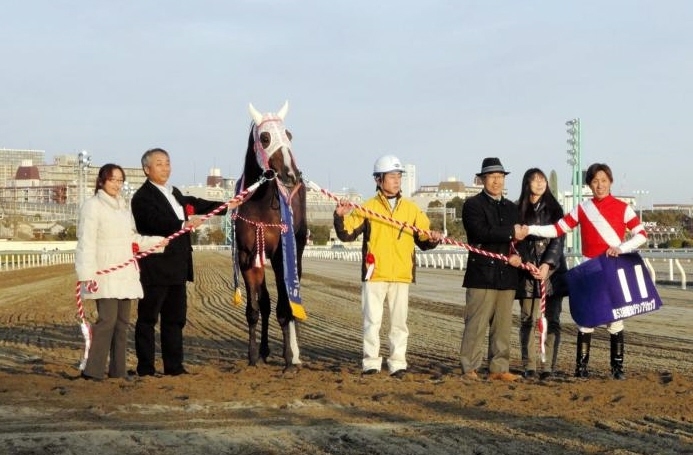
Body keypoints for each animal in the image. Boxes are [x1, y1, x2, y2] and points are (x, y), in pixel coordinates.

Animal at [234, 101, 306, 372]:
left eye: (289, 135)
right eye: (265, 138)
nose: (292, 175)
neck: (260, 203)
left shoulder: (280, 256)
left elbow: (285, 308)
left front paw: (289, 359)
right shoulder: (247, 256)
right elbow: (255, 309)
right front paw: (253, 355)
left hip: (298, 247)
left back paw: (296, 354)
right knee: (264, 302)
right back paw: (264, 350)